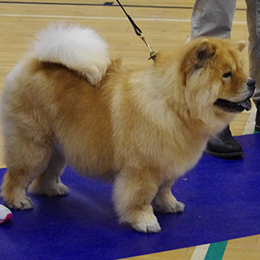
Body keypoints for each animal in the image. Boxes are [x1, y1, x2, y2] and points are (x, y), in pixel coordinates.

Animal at [0, 23, 255, 232]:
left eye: (243, 71)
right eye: (227, 75)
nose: (252, 82)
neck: (172, 104)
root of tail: (35, 62)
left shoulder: (168, 164)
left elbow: (165, 189)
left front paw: (169, 205)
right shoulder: (142, 169)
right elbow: (140, 198)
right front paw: (145, 221)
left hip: (59, 147)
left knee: (47, 173)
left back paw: (52, 189)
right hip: (34, 145)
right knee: (17, 175)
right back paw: (18, 201)